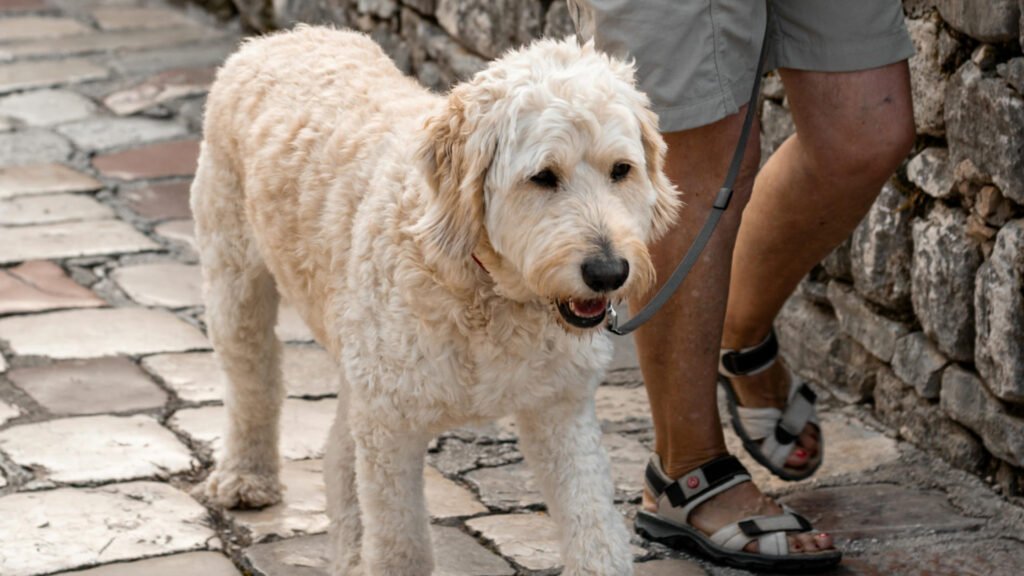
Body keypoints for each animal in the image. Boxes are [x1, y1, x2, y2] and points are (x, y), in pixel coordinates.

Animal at [193, 26, 679, 573]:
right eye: (543, 177)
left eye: (621, 170)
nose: (608, 272)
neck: (483, 288)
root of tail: (282, 35)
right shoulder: (390, 426)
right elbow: (400, 546)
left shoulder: (561, 409)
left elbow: (594, 530)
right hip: (234, 276)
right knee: (252, 378)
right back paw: (245, 476)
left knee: (339, 448)